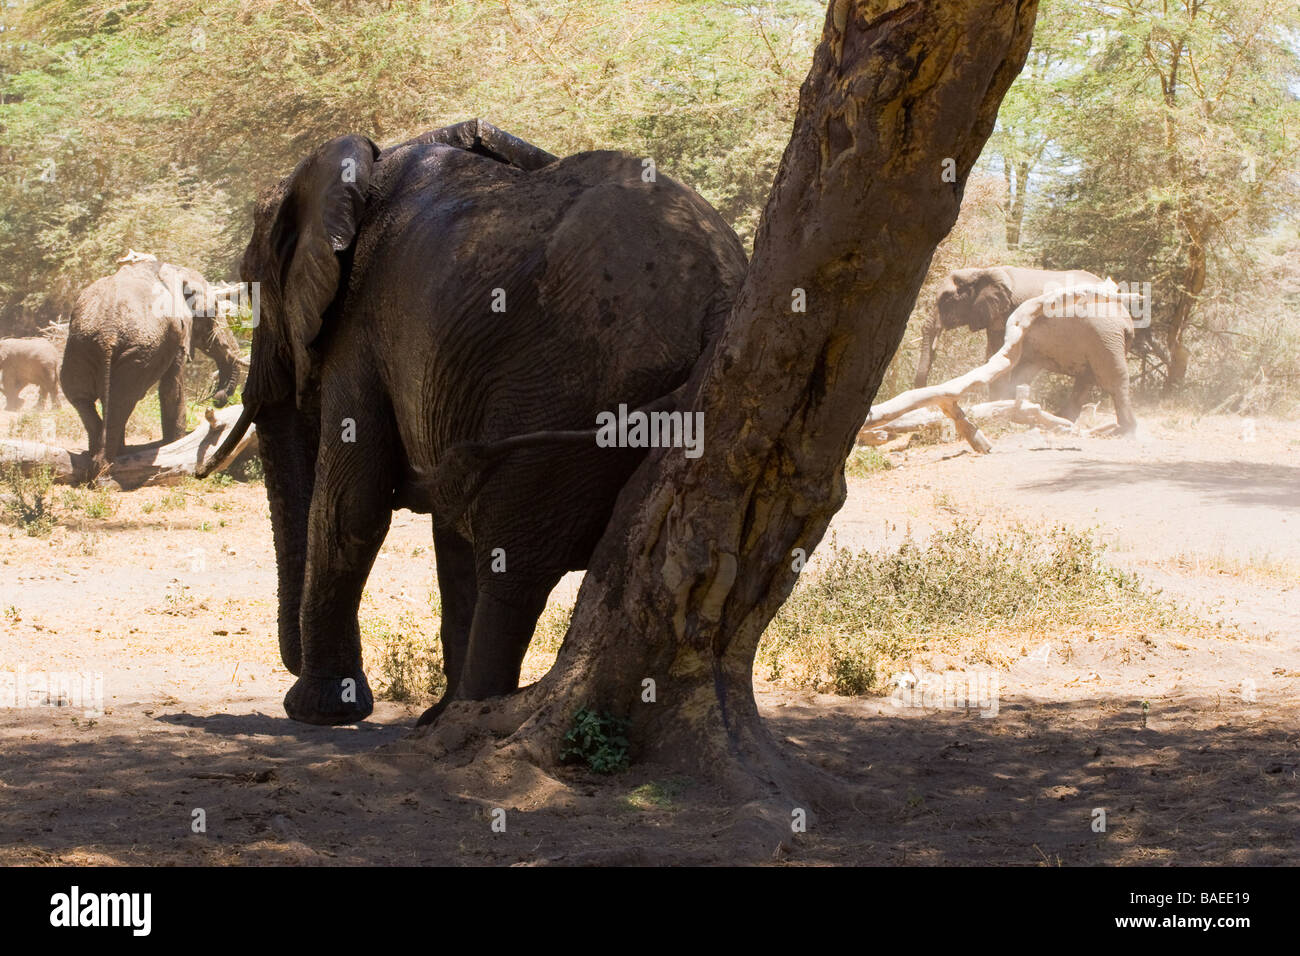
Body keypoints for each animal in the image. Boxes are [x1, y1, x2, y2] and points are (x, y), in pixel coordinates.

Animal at [61, 252, 245, 466]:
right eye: (213, 311)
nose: (217, 400)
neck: (176, 271)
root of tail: (107, 334)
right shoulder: (176, 334)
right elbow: (172, 389)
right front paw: (174, 443)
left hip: (80, 348)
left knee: (82, 398)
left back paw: (101, 454)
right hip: (135, 355)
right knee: (121, 400)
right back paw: (106, 462)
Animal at [201, 119, 748, 726]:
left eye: (252, 281)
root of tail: (724, 297)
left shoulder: (360, 328)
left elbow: (353, 504)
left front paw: (318, 711)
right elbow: (445, 532)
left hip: (571, 388)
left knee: (513, 563)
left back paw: (465, 718)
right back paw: (448, 717)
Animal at [914, 266, 1137, 433]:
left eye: (945, 300)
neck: (982, 270)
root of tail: (1126, 320)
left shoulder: (1005, 315)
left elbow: (996, 358)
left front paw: (997, 413)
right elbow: (1016, 366)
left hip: (1105, 337)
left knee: (1112, 379)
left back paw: (1125, 431)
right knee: (1086, 380)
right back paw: (1063, 422)